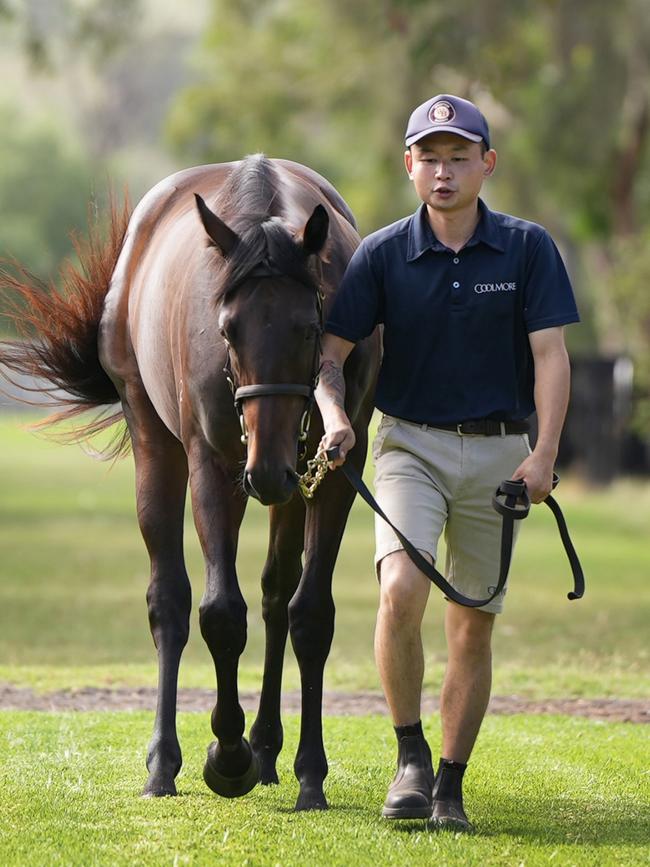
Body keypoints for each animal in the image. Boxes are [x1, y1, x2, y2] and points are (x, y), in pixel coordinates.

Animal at [0, 153, 380, 812]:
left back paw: (268, 749)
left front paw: (308, 773)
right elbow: (220, 613)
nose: (267, 468)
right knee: (170, 600)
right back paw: (164, 764)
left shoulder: (331, 470)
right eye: (227, 330)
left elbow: (310, 613)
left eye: (310, 328)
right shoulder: (213, 465)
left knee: (276, 596)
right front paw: (227, 758)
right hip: (158, 443)